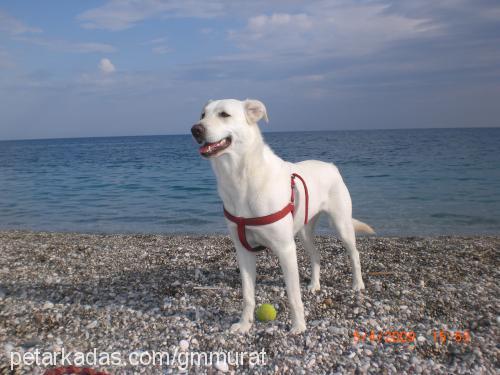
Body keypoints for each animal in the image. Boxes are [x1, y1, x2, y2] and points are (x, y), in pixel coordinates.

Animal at [189, 99, 374, 334]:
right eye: (202, 115)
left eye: (224, 114)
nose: (195, 129)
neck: (241, 177)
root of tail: (331, 166)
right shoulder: (243, 251)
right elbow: (248, 295)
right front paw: (244, 324)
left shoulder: (285, 249)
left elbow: (293, 296)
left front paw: (298, 326)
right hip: (304, 231)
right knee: (316, 255)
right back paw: (314, 285)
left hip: (341, 225)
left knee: (354, 254)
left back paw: (357, 284)